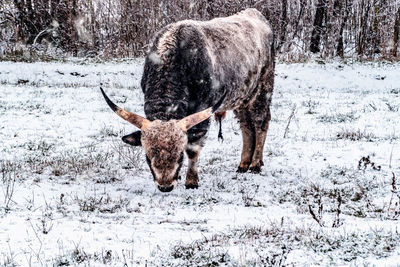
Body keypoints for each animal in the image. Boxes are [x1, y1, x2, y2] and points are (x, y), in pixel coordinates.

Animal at [101, 8, 274, 193]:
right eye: (148, 156)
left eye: (179, 155)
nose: (165, 186)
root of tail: (255, 13)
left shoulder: (203, 108)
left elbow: (193, 147)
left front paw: (191, 181)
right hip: (242, 97)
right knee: (246, 125)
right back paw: (243, 164)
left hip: (264, 88)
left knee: (260, 122)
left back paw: (255, 164)